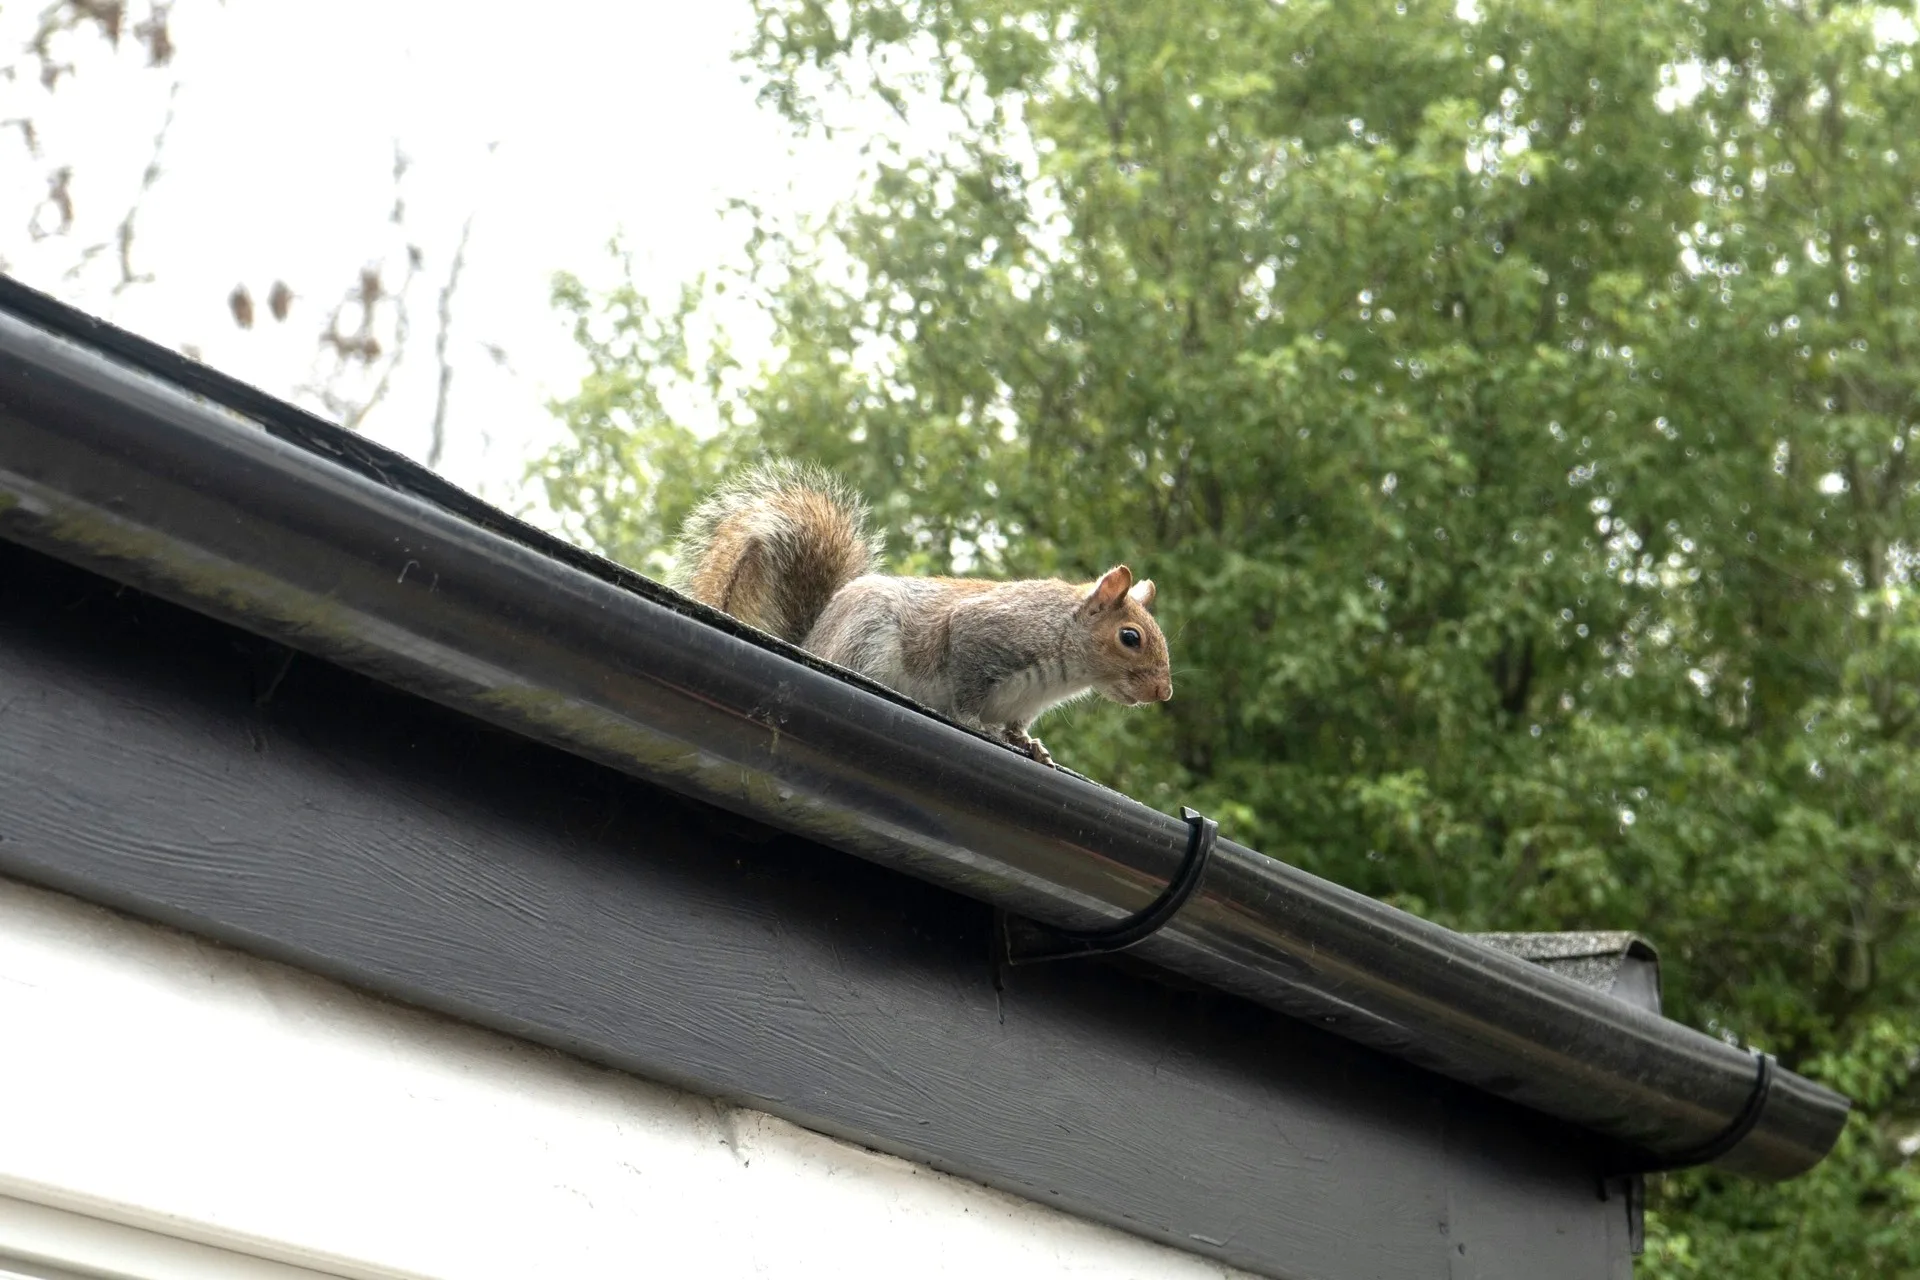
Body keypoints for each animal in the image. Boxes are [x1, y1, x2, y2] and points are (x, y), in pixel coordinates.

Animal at [671, 460, 1173, 766]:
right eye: (1131, 637)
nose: (1163, 692)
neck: (1064, 667)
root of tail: (811, 640)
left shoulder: (1022, 704)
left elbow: (1017, 726)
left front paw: (1030, 744)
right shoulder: (987, 633)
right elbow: (968, 692)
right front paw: (976, 724)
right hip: (868, 637)